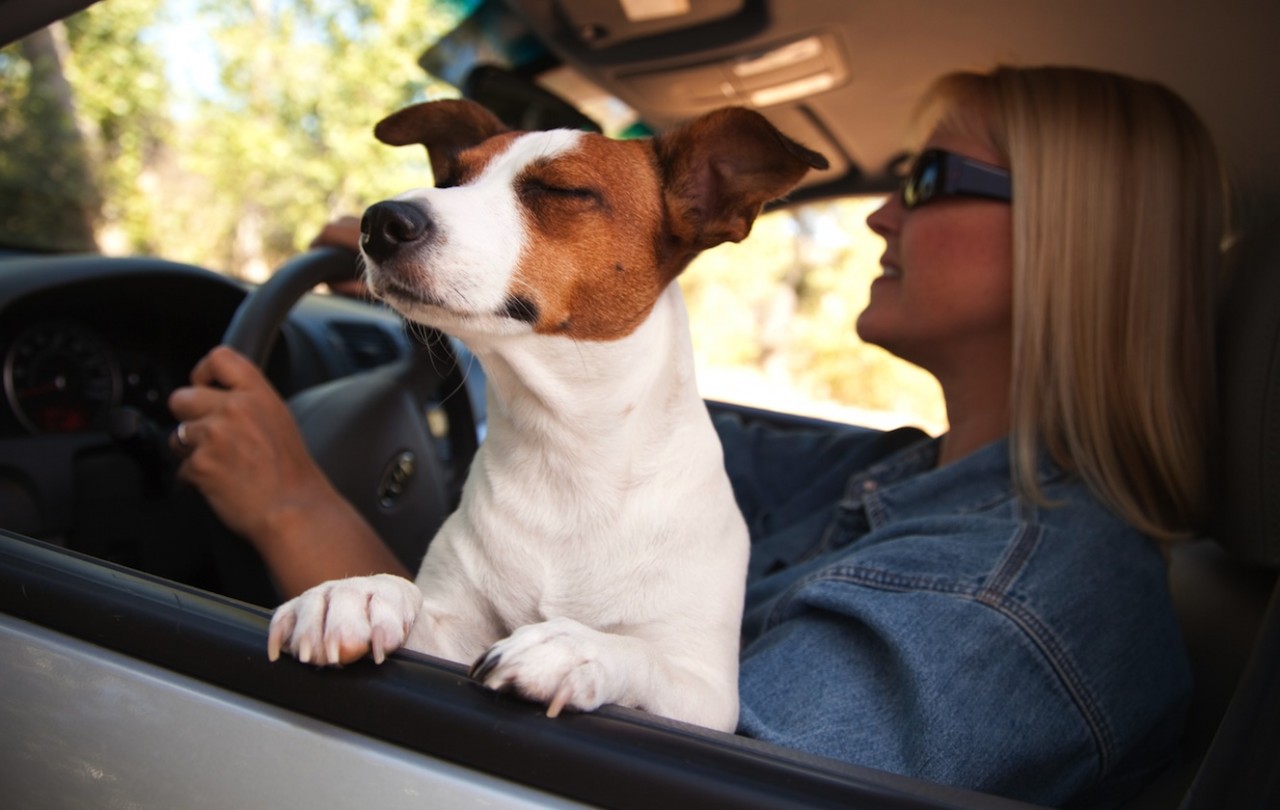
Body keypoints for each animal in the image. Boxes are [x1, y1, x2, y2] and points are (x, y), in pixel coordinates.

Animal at [270, 97, 829, 731]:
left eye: (561, 190)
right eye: (450, 179)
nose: (380, 221)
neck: (567, 452)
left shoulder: (707, 699)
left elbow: (641, 654)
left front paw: (575, 647)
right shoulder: (449, 636)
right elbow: (408, 602)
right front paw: (355, 594)